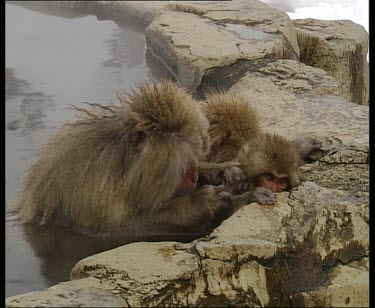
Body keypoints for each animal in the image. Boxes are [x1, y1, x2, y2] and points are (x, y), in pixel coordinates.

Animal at [8, 80, 276, 237]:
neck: (123, 169)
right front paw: (199, 205)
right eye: (184, 160)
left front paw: (228, 174)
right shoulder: (91, 188)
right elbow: (111, 232)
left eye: (196, 156)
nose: (193, 176)